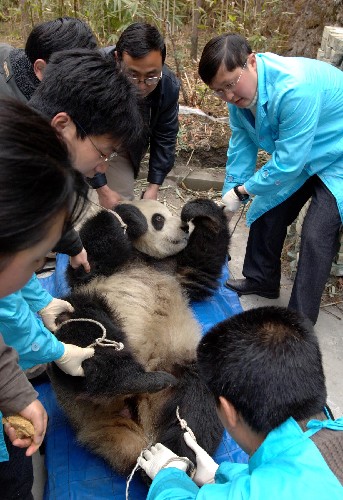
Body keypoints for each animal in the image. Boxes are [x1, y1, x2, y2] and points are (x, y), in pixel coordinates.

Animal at [48, 197, 231, 474]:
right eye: (159, 219)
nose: (184, 227)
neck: (142, 257)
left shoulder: (177, 271)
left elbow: (201, 266)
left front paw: (200, 212)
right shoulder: (98, 270)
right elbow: (89, 256)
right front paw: (131, 217)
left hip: (178, 369)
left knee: (198, 403)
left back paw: (174, 459)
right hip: (75, 385)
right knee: (80, 315)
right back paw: (128, 379)